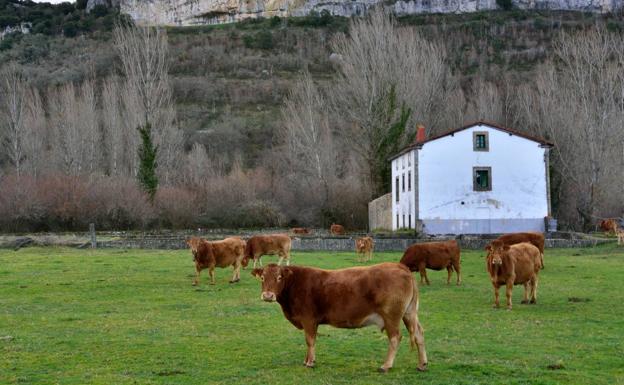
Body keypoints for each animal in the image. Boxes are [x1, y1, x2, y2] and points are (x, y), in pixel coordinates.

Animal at [251, 262, 426, 370]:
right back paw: (422, 364)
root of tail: (400, 266)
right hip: (410, 313)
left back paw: (386, 365)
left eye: (279, 277)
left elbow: (310, 341)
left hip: (392, 316)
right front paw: (306, 360)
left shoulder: (309, 319)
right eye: (262, 277)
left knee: (395, 337)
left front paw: (310, 362)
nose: (267, 295)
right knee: (419, 334)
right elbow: (309, 342)